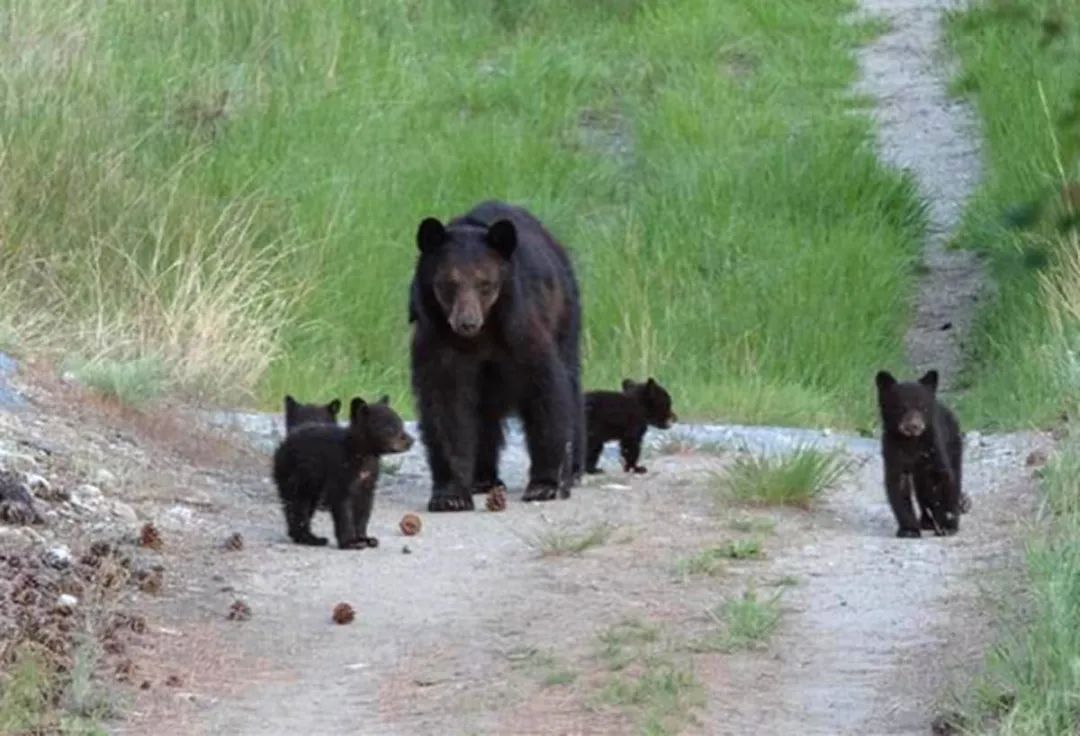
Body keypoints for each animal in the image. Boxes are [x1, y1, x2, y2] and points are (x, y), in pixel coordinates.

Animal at [274, 395, 412, 544]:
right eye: (390, 427)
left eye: (401, 423)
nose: (411, 440)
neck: (363, 455)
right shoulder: (340, 471)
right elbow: (343, 506)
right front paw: (350, 542)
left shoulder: (369, 480)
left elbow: (364, 508)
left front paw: (365, 538)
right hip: (294, 475)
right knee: (298, 505)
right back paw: (309, 537)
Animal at [408, 201, 587, 510]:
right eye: (449, 283)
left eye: (485, 283)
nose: (466, 323)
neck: (483, 337)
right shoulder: (437, 341)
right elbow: (446, 407)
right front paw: (450, 495)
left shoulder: (524, 331)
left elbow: (547, 391)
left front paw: (545, 484)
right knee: (484, 414)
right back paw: (483, 478)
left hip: (565, 314)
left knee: (571, 381)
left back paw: (574, 470)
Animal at [872, 369, 967, 536]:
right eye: (901, 407)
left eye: (923, 407)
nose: (914, 426)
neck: (912, 442)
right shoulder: (894, 453)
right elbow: (898, 487)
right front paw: (909, 529)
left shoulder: (934, 449)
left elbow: (944, 480)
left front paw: (948, 526)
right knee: (922, 493)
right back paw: (926, 522)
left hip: (953, 447)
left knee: (953, 477)